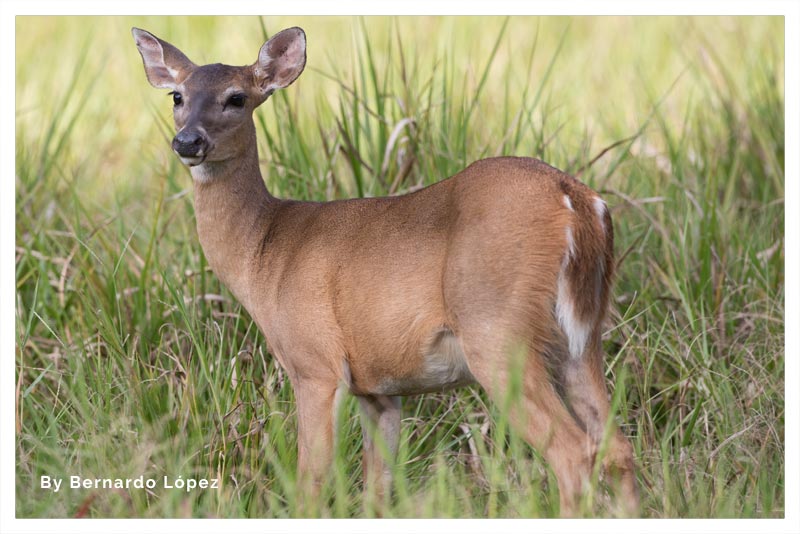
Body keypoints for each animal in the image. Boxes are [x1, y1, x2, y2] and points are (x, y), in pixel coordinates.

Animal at [134, 26, 640, 520]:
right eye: (177, 96)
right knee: (617, 448)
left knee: (573, 453)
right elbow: (377, 491)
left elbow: (311, 483)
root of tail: (577, 201)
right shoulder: (378, 388)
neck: (265, 252)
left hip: (496, 330)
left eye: (237, 97)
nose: (188, 142)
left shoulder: (315, 363)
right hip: (581, 337)